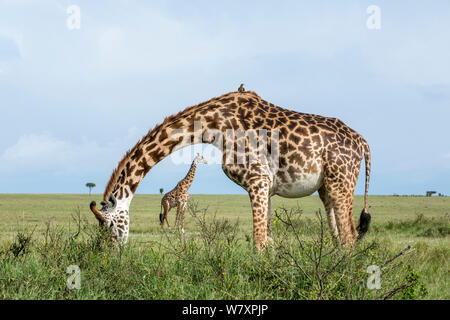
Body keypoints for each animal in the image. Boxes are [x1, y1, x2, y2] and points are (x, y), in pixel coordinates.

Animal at [89, 87, 370, 250]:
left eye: (110, 226)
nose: (109, 251)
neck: (213, 126)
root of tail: (363, 143)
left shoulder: (257, 180)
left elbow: (259, 243)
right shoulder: (266, 186)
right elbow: (268, 241)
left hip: (341, 182)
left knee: (348, 236)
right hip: (326, 188)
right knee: (341, 235)